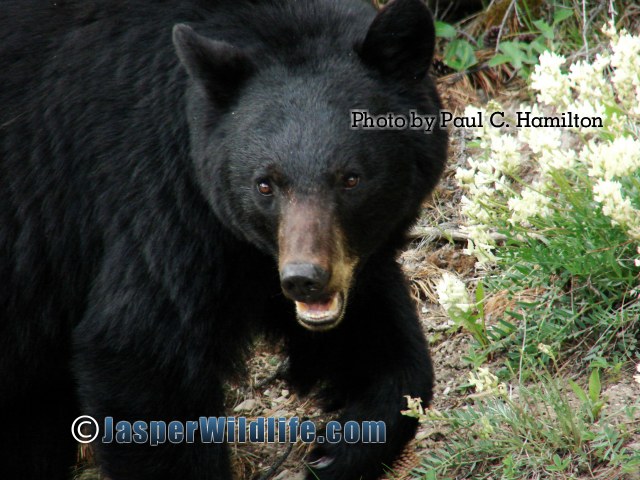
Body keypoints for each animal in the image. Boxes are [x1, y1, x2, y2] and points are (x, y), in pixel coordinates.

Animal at [0, 0, 448, 478]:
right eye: (265, 184)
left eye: (351, 178)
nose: (304, 280)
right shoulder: (155, 203)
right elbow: (142, 355)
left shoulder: (310, 259)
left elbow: (387, 348)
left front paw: (339, 448)